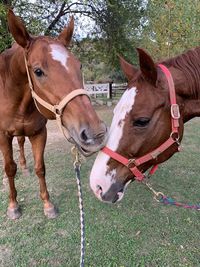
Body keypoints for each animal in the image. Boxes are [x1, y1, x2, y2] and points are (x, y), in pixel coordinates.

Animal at [0, 10, 108, 220]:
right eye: (38, 71)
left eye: (79, 65)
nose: (96, 134)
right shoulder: (3, 135)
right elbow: (9, 168)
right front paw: (13, 206)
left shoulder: (39, 133)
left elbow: (40, 168)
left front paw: (47, 204)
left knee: (21, 143)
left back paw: (24, 166)